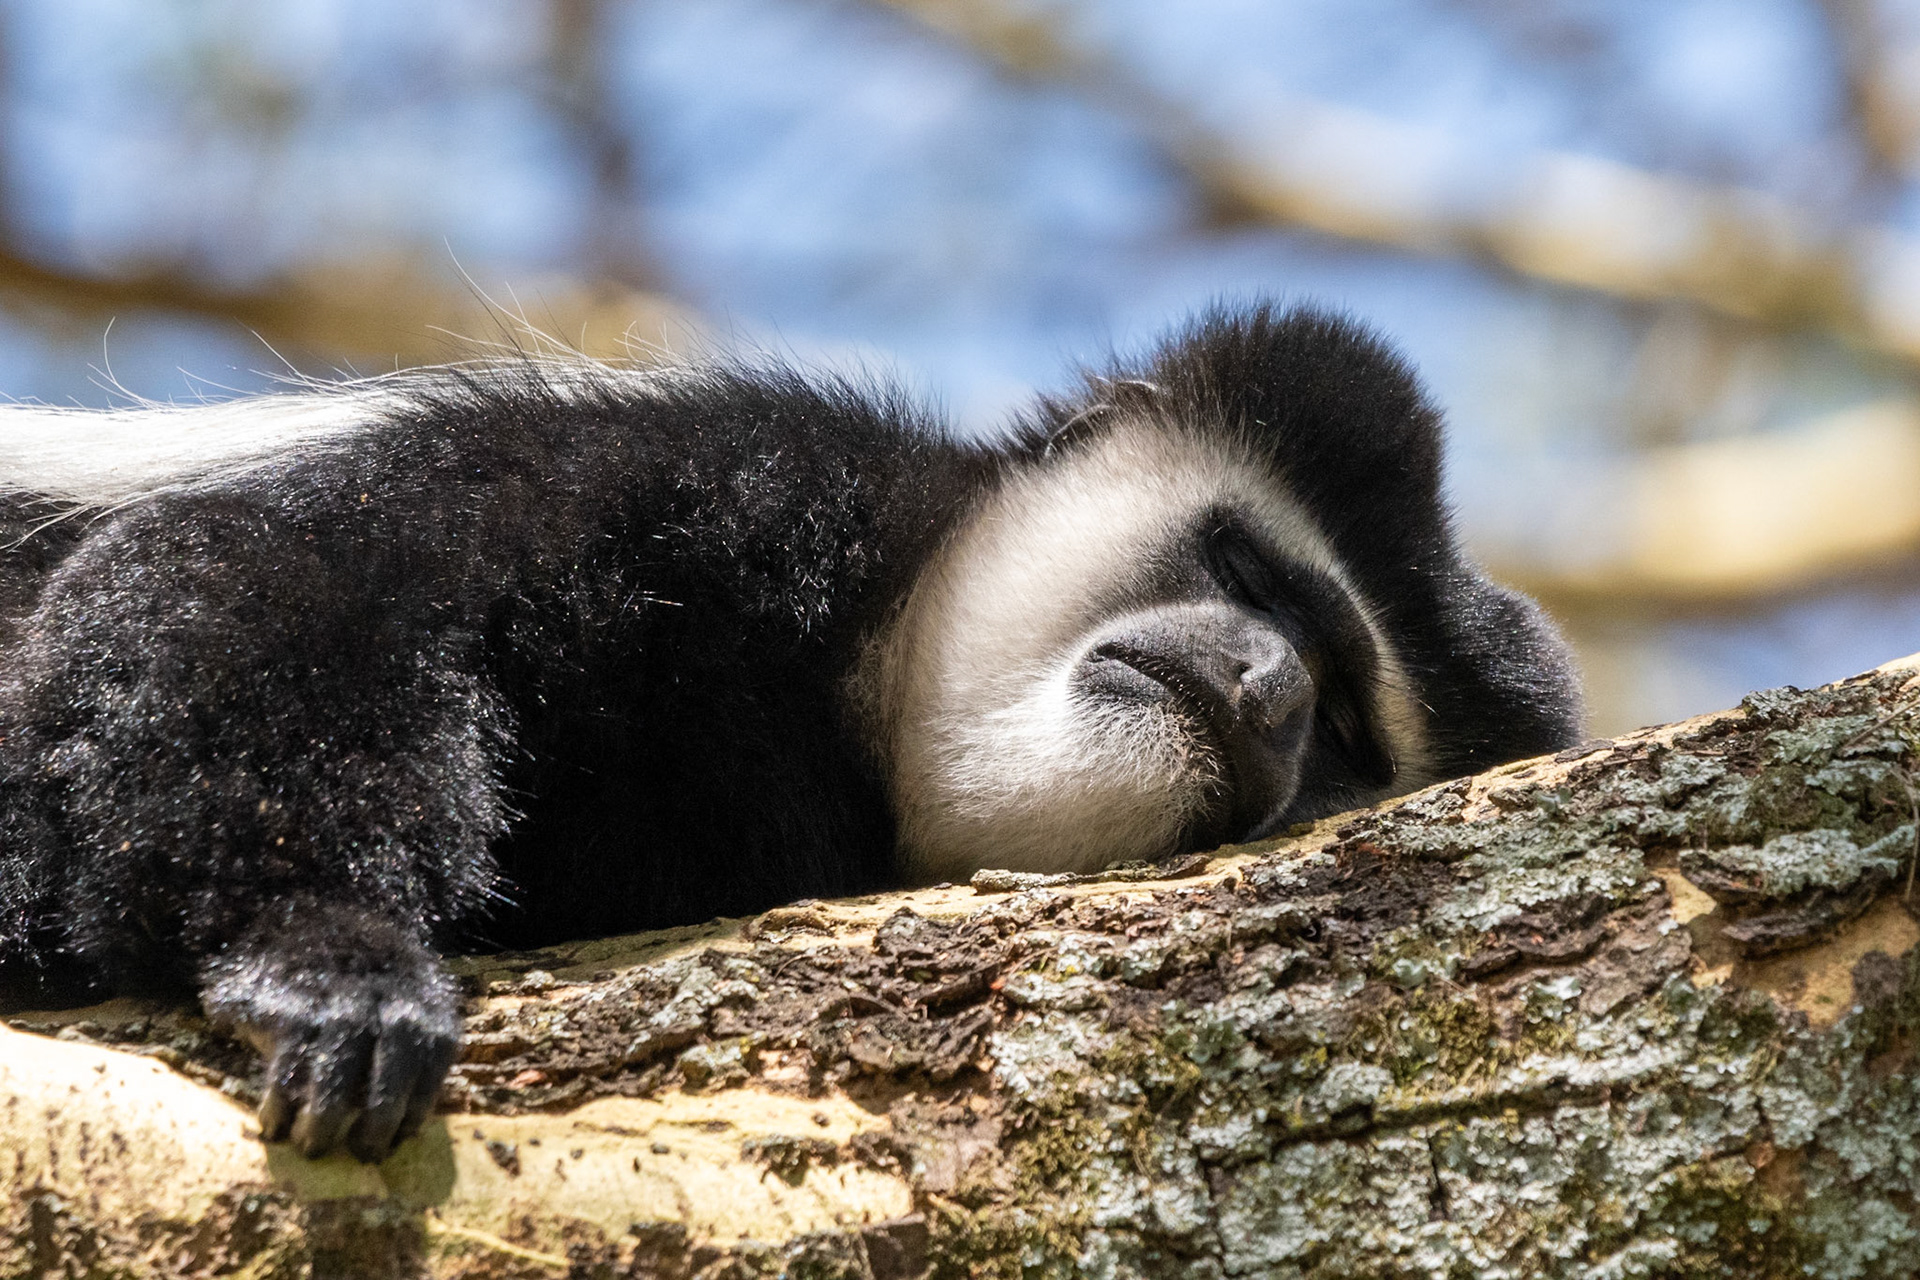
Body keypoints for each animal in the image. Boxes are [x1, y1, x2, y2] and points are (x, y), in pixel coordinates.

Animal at [0, 302, 1581, 1162]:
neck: (849, 714)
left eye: (1350, 737)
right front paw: (324, 961)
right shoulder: (728, 479)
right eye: (1256, 583)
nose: (1268, 689)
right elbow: (265, 572)